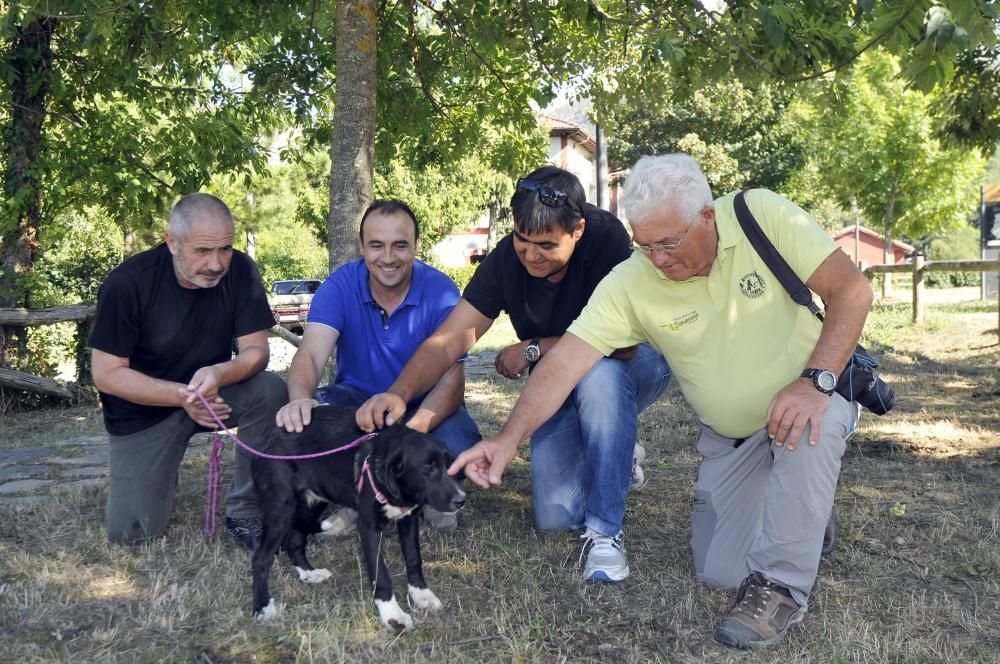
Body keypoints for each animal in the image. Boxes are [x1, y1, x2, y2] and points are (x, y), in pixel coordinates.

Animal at [250, 402, 468, 632]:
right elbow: (380, 573)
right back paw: (262, 607)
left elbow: (413, 557)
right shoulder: (369, 528)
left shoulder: (408, 520)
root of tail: (265, 436)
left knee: (295, 539)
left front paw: (421, 594)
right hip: (281, 507)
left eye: (450, 465)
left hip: (313, 501)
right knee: (261, 558)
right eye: (427, 468)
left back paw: (309, 573)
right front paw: (392, 615)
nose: (461, 500)